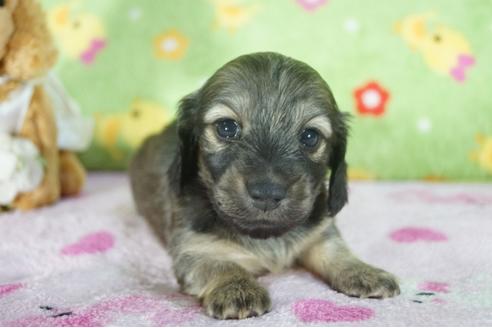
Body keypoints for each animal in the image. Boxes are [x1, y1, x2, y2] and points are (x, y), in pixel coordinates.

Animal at [131, 52, 400, 320]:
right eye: (226, 127)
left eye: (310, 136)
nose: (268, 193)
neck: (265, 234)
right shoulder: (195, 249)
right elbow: (221, 264)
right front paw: (237, 288)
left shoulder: (320, 232)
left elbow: (336, 251)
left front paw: (363, 271)